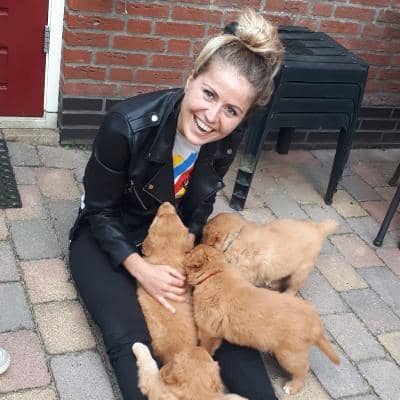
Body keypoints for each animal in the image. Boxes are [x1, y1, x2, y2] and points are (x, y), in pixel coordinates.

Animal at [185, 244, 340, 395]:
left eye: (191, 252)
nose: (185, 251)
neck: (215, 273)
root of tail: (316, 323)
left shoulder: (208, 332)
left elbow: (204, 348)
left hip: (289, 355)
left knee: (303, 367)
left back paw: (293, 387)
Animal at [202, 213, 338, 294]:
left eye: (203, 236)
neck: (235, 237)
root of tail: (319, 228)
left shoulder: (244, 271)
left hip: (301, 271)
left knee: (292, 288)